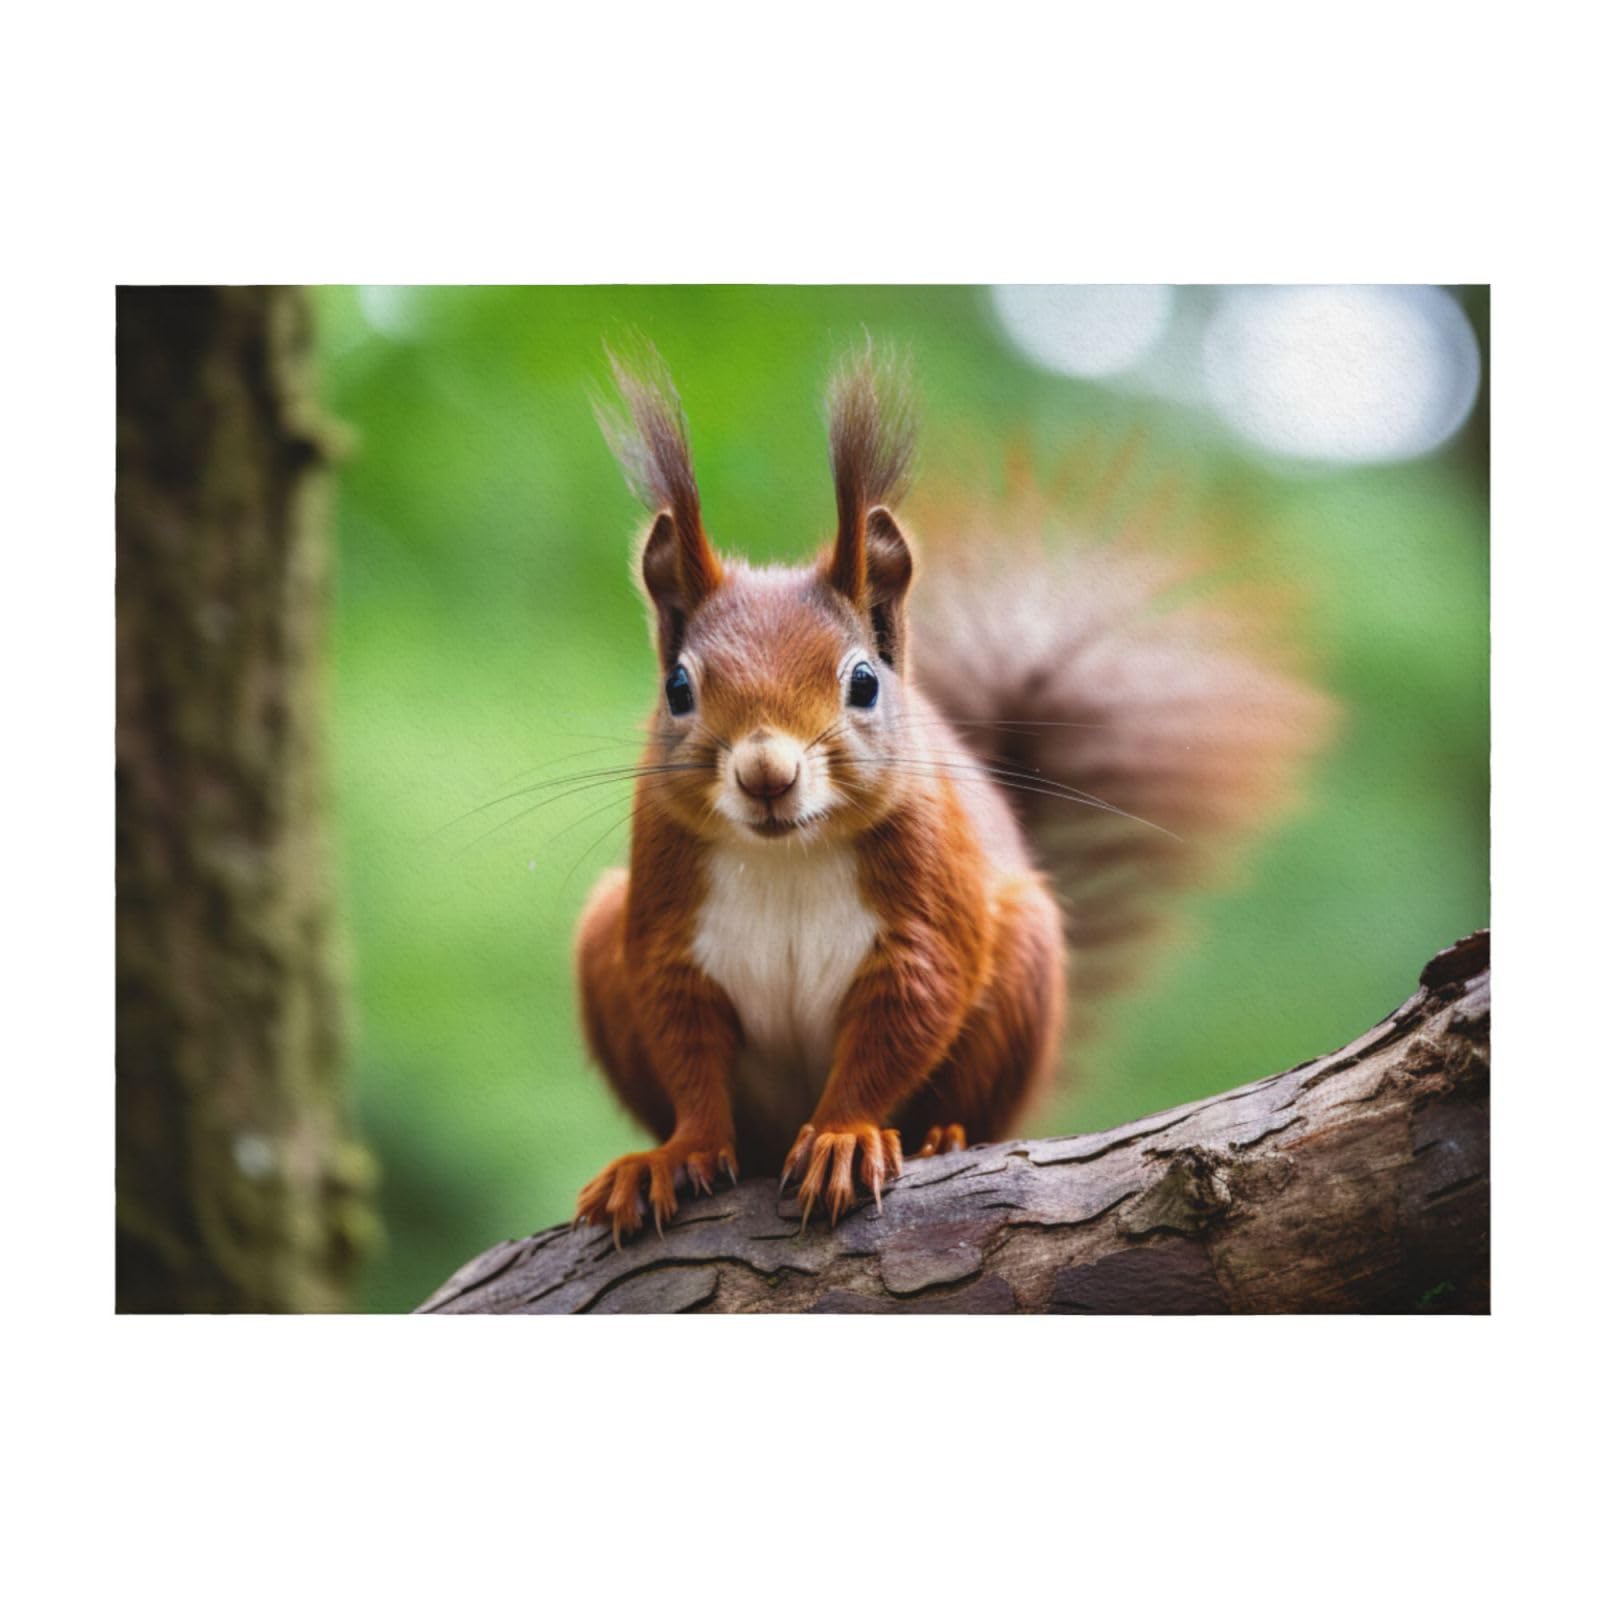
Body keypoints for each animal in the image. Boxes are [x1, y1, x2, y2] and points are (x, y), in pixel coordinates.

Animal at [573, 345, 1332, 1243]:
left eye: (864, 682)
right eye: (679, 688)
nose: (766, 773)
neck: (786, 855)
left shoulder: (925, 898)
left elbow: (907, 1013)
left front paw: (843, 1136)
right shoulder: (665, 920)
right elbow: (683, 1045)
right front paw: (675, 1152)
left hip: (1026, 955)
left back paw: (942, 1136)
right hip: (602, 934)